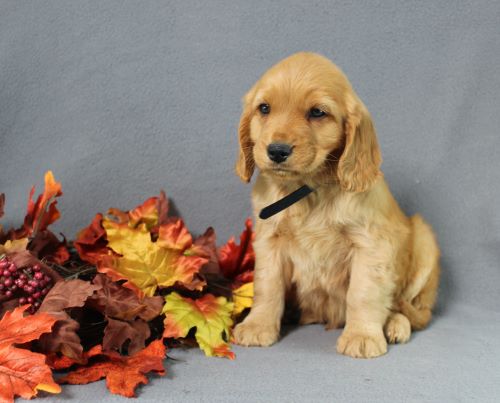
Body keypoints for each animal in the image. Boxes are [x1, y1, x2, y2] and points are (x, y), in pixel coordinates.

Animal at [232, 52, 440, 358]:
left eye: (317, 112)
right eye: (264, 108)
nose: (277, 151)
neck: (309, 190)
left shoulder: (370, 245)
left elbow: (362, 293)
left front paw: (362, 336)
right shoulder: (269, 240)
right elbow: (267, 286)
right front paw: (258, 326)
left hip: (424, 241)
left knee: (412, 309)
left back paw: (395, 325)